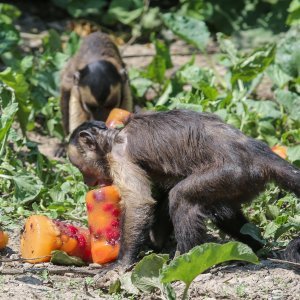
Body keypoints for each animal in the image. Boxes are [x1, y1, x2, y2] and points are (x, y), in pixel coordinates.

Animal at [67, 108, 300, 270]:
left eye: (80, 167)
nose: (87, 181)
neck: (114, 137)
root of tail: (256, 151)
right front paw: (154, 241)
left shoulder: (118, 155)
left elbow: (139, 202)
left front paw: (122, 263)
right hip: (241, 181)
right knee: (221, 210)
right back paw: (257, 246)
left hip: (234, 172)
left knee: (181, 198)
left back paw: (185, 260)